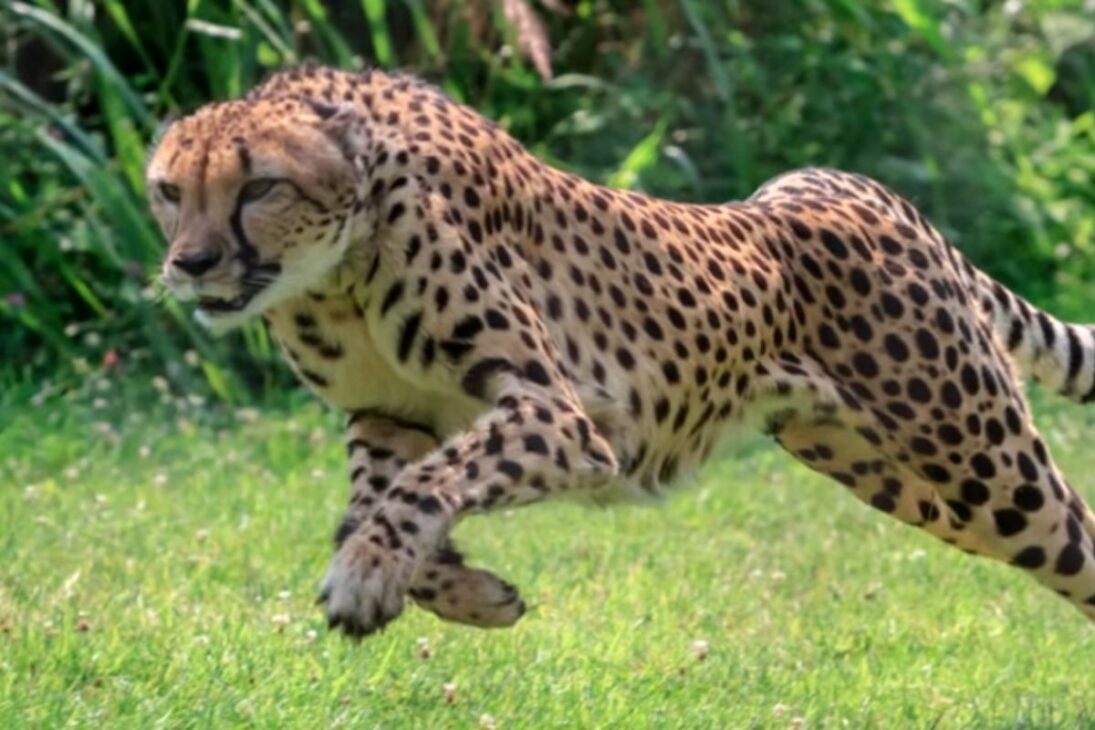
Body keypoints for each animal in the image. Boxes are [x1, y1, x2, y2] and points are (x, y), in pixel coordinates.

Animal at [147, 64, 1095, 638]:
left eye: (259, 186)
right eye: (167, 190)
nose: (190, 263)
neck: (334, 272)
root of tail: (860, 188)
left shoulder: (560, 416)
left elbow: (419, 489)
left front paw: (369, 575)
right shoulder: (388, 414)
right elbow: (375, 503)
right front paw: (465, 593)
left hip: (980, 458)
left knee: (1075, 539)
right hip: (899, 477)